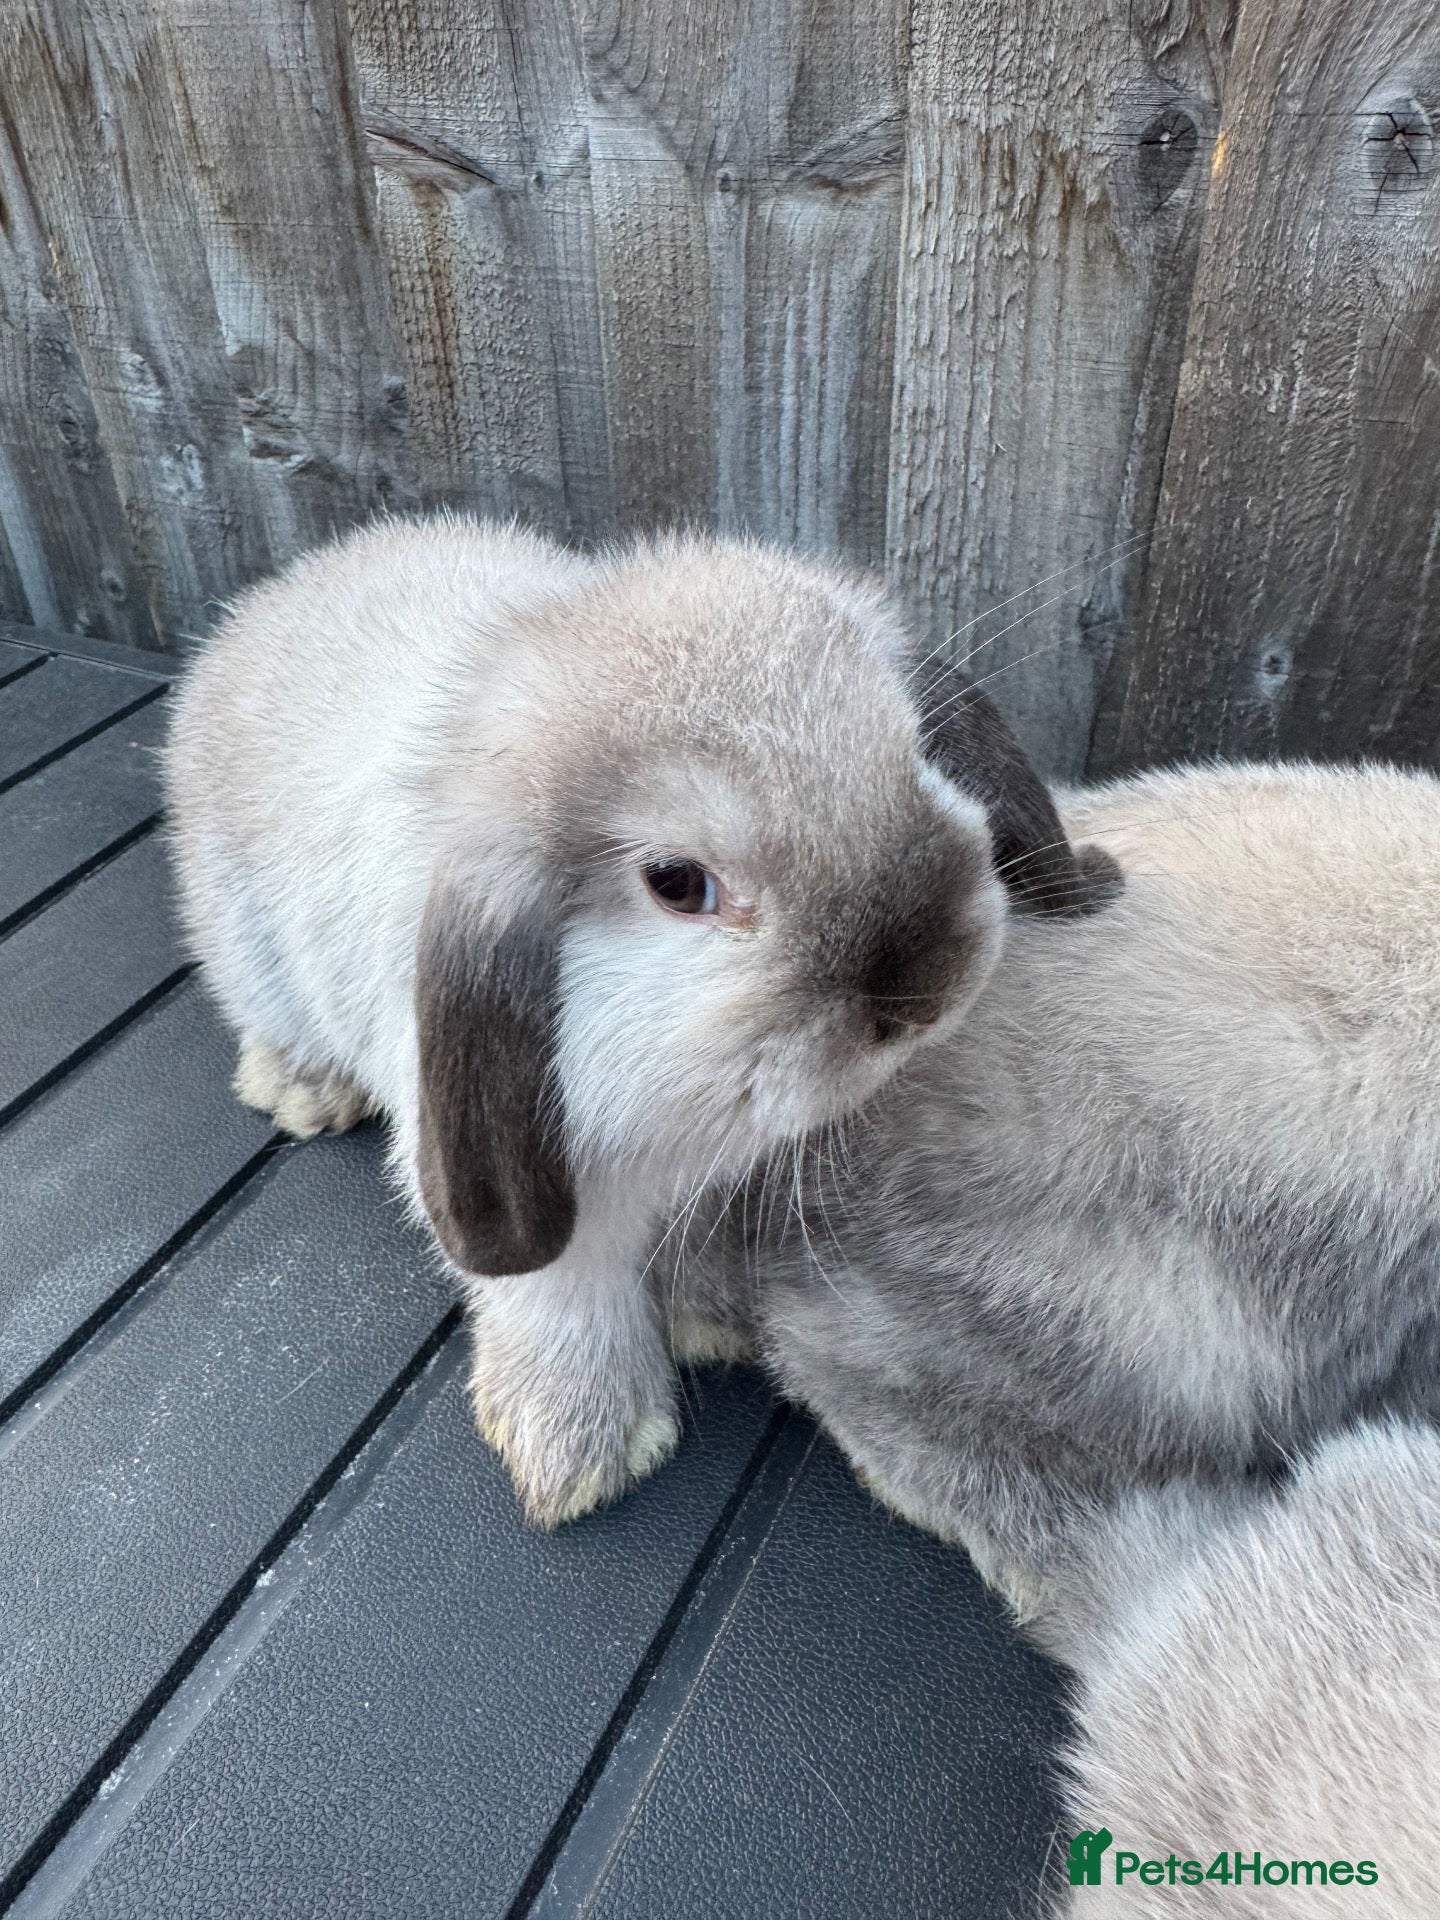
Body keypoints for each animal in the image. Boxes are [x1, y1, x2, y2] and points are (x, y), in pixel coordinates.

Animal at [165, 513, 1117, 1528]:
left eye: (918, 756)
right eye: (678, 884)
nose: (929, 985)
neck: (688, 1119)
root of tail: (278, 595)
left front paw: (710, 1321)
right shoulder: (542, 1206)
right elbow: (564, 1304)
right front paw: (581, 1452)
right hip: (248, 953)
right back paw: (304, 1092)